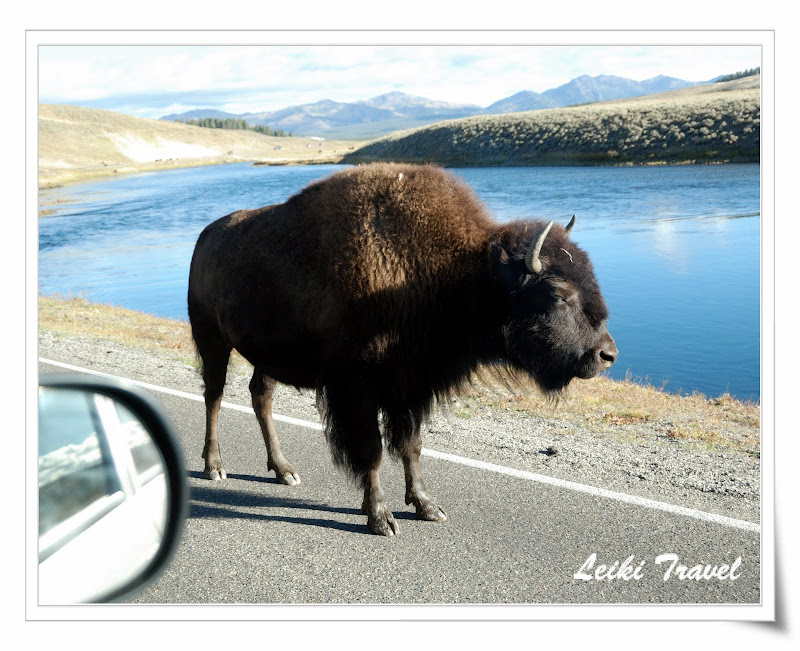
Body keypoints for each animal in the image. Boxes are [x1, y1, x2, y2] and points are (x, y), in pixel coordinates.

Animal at [189, 162, 620, 536]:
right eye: (558, 294)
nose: (606, 355)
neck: (455, 272)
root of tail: (206, 236)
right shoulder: (357, 390)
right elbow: (373, 451)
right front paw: (381, 518)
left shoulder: (409, 389)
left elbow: (411, 447)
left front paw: (427, 506)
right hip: (212, 342)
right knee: (214, 396)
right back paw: (215, 466)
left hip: (267, 357)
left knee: (260, 397)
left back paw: (283, 471)